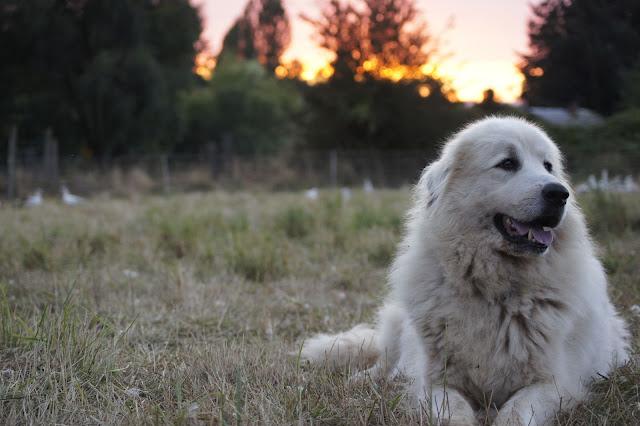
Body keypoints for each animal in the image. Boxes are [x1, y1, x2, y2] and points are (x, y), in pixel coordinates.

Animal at [302, 116, 632, 426]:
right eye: (508, 163)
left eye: (548, 166)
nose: (560, 193)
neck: (494, 292)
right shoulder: (436, 383)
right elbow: (455, 413)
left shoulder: (552, 385)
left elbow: (514, 414)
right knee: (385, 364)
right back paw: (363, 381)